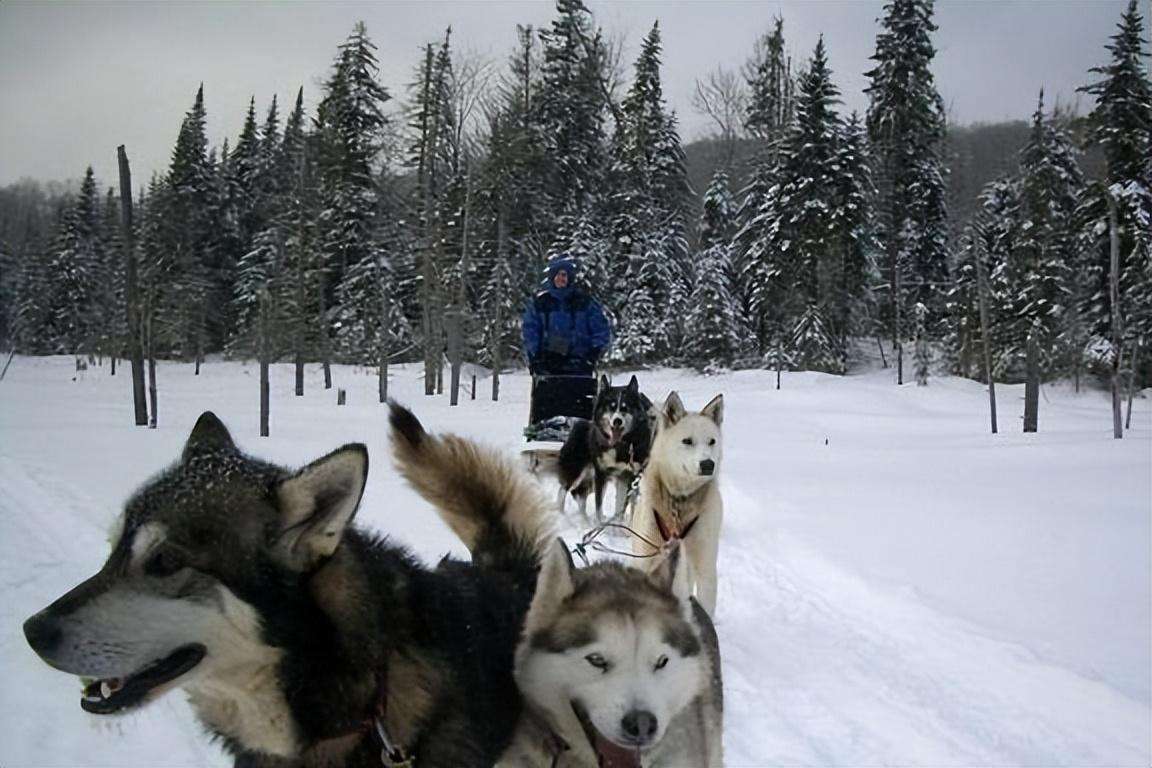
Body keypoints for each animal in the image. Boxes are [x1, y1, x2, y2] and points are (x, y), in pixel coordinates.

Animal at [631, 393, 718, 617]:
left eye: (712, 441)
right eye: (687, 441)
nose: (708, 464)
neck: (679, 501)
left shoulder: (705, 567)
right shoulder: (645, 558)